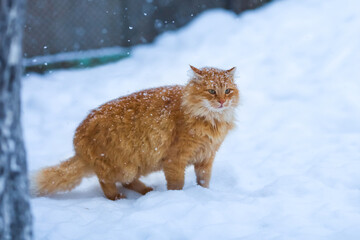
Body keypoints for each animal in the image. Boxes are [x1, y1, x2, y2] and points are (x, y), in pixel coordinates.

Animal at [31, 65, 239, 201]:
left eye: (228, 91)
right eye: (211, 91)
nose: (222, 101)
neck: (210, 121)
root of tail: (78, 141)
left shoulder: (206, 158)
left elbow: (203, 181)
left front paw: (204, 194)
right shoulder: (175, 160)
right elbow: (176, 185)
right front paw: (176, 199)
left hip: (133, 166)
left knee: (127, 182)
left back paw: (148, 191)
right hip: (122, 166)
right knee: (106, 182)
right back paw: (118, 198)